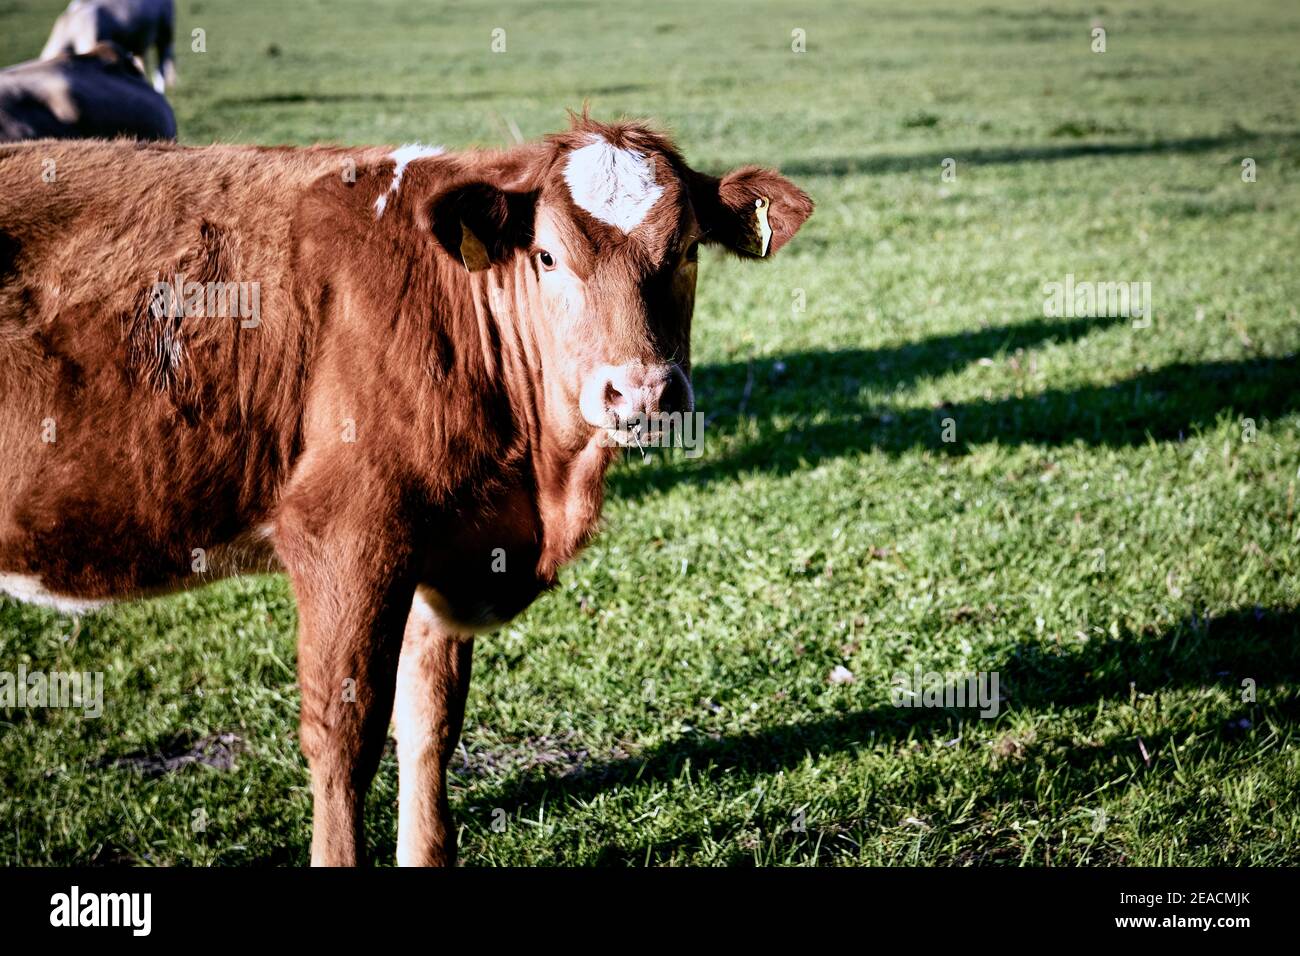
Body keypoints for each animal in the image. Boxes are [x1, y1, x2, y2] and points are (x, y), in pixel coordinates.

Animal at [0, 115, 812, 865]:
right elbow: (344, 738)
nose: (641, 393)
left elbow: (430, 725)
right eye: (548, 255)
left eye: (686, 250)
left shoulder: (446, 550)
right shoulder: (344, 535)